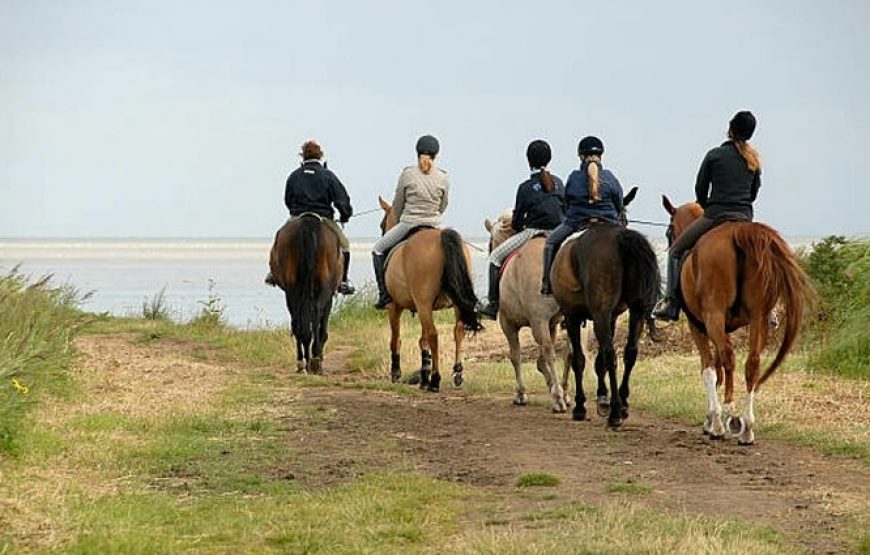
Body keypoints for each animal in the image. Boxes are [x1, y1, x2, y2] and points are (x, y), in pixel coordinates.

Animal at [269, 215, 343, 375]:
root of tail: (308, 223)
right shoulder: (329, 297)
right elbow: (323, 328)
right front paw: (318, 356)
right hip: (322, 290)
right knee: (315, 316)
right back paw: (313, 361)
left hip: (292, 292)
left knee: (299, 325)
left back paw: (304, 362)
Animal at [377, 196, 483, 391]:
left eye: (382, 225)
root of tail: (441, 237)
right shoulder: (421, 308)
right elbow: (422, 340)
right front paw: (423, 375)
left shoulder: (394, 307)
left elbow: (396, 339)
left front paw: (396, 372)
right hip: (452, 304)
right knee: (458, 330)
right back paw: (457, 374)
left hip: (423, 304)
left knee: (434, 335)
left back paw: (435, 379)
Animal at [551, 220, 660, 427]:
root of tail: (620, 239)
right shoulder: (611, 317)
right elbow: (599, 359)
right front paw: (602, 399)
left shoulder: (572, 316)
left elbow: (579, 359)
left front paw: (580, 406)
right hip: (636, 310)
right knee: (630, 352)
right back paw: (623, 403)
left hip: (598, 312)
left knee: (610, 355)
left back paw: (615, 412)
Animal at [661, 196, 813, 444]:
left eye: (669, 231)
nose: (670, 240)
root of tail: (739, 232)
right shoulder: (723, 328)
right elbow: (720, 370)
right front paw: (713, 420)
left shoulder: (699, 326)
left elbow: (710, 369)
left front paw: (713, 421)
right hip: (758, 318)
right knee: (752, 364)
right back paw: (747, 427)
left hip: (714, 316)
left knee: (729, 359)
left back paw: (729, 416)